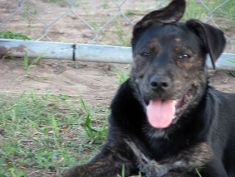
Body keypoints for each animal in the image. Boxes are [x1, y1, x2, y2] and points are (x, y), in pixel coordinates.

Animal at [62, 0, 235, 177]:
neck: (158, 132)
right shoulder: (115, 153)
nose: (159, 83)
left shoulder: (209, 167)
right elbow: (75, 171)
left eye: (184, 56)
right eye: (146, 53)